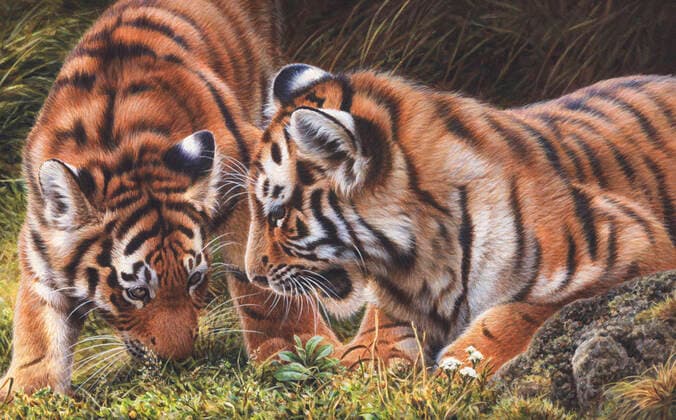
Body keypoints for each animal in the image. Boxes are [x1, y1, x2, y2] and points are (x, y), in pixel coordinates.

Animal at [0, 0, 343, 399]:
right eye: (135, 291)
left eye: (194, 279)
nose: (178, 360)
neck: (121, 151)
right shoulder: (42, 239)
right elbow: (38, 318)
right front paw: (28, 390)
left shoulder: (244, 179)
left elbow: (262, 279)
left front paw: (295, 351)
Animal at [245, 63, 676, 373]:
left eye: (278, 213)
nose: (253, 275)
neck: (417, 261)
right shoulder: (398, 305)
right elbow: (376, 336)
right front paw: (361, 368)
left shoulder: (636, 245)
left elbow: (523, 310)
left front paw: (459, 367)